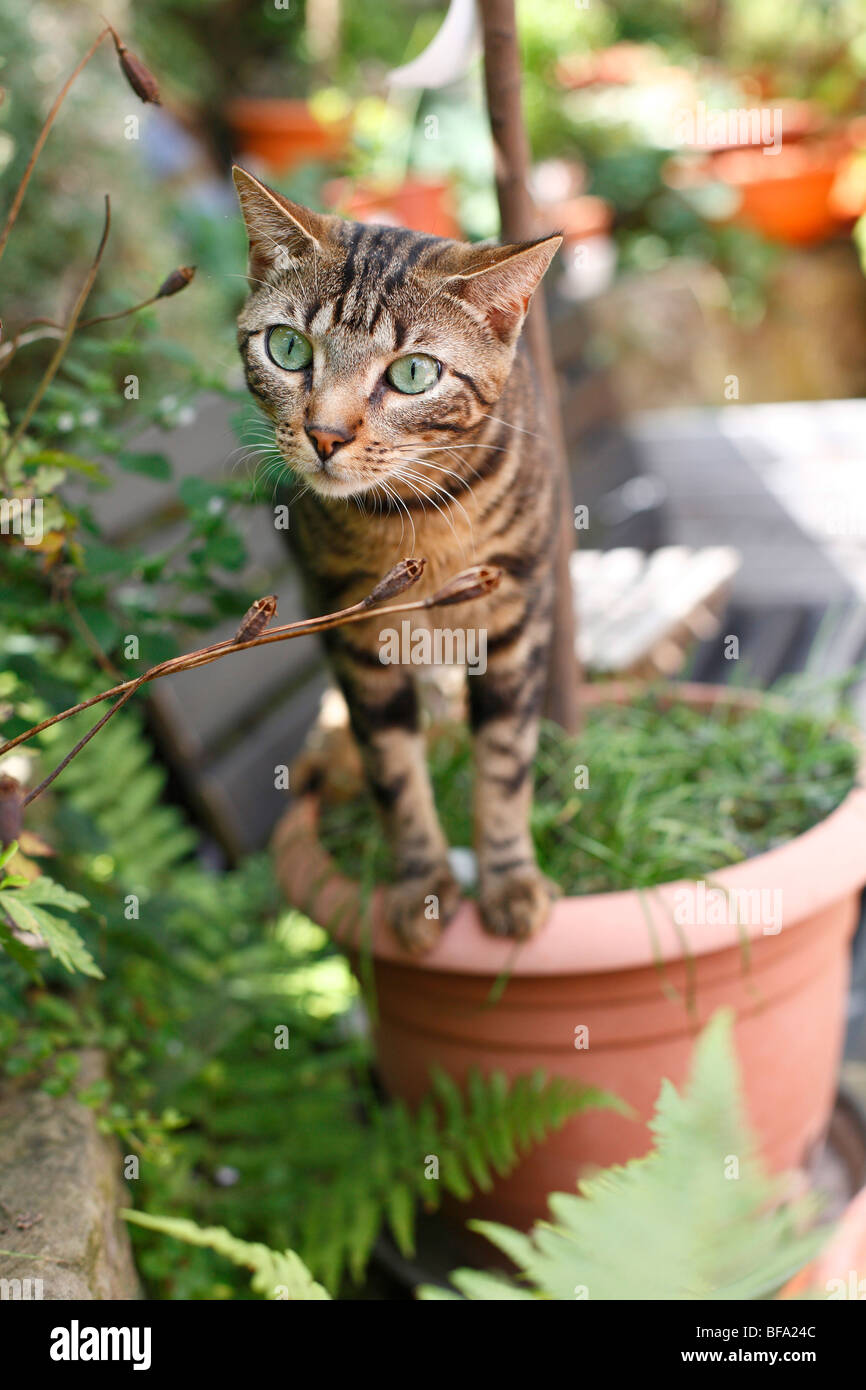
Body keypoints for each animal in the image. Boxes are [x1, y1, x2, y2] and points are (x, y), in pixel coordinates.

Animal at [234, 168, 561, 956]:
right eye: (288, 348)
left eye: (414, 373)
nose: (325, 434)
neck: (417, 525)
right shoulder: (351, 628)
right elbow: (394, 768)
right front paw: (422, 887)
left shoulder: (519, 614)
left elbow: (504, 760)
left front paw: (509, 880)